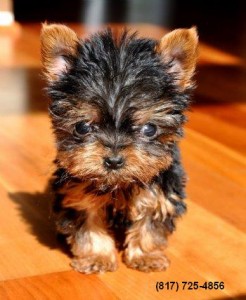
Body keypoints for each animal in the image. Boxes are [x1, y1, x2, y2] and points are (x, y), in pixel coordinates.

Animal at [40, 23, 198, 274]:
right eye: (82, 127)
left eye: (150, 129)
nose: (113, 161)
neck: (118, 184)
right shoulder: (78, 194)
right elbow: (89, 225)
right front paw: (96, 257)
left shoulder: (159, 192)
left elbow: (150, 222)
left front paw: (146, 256)